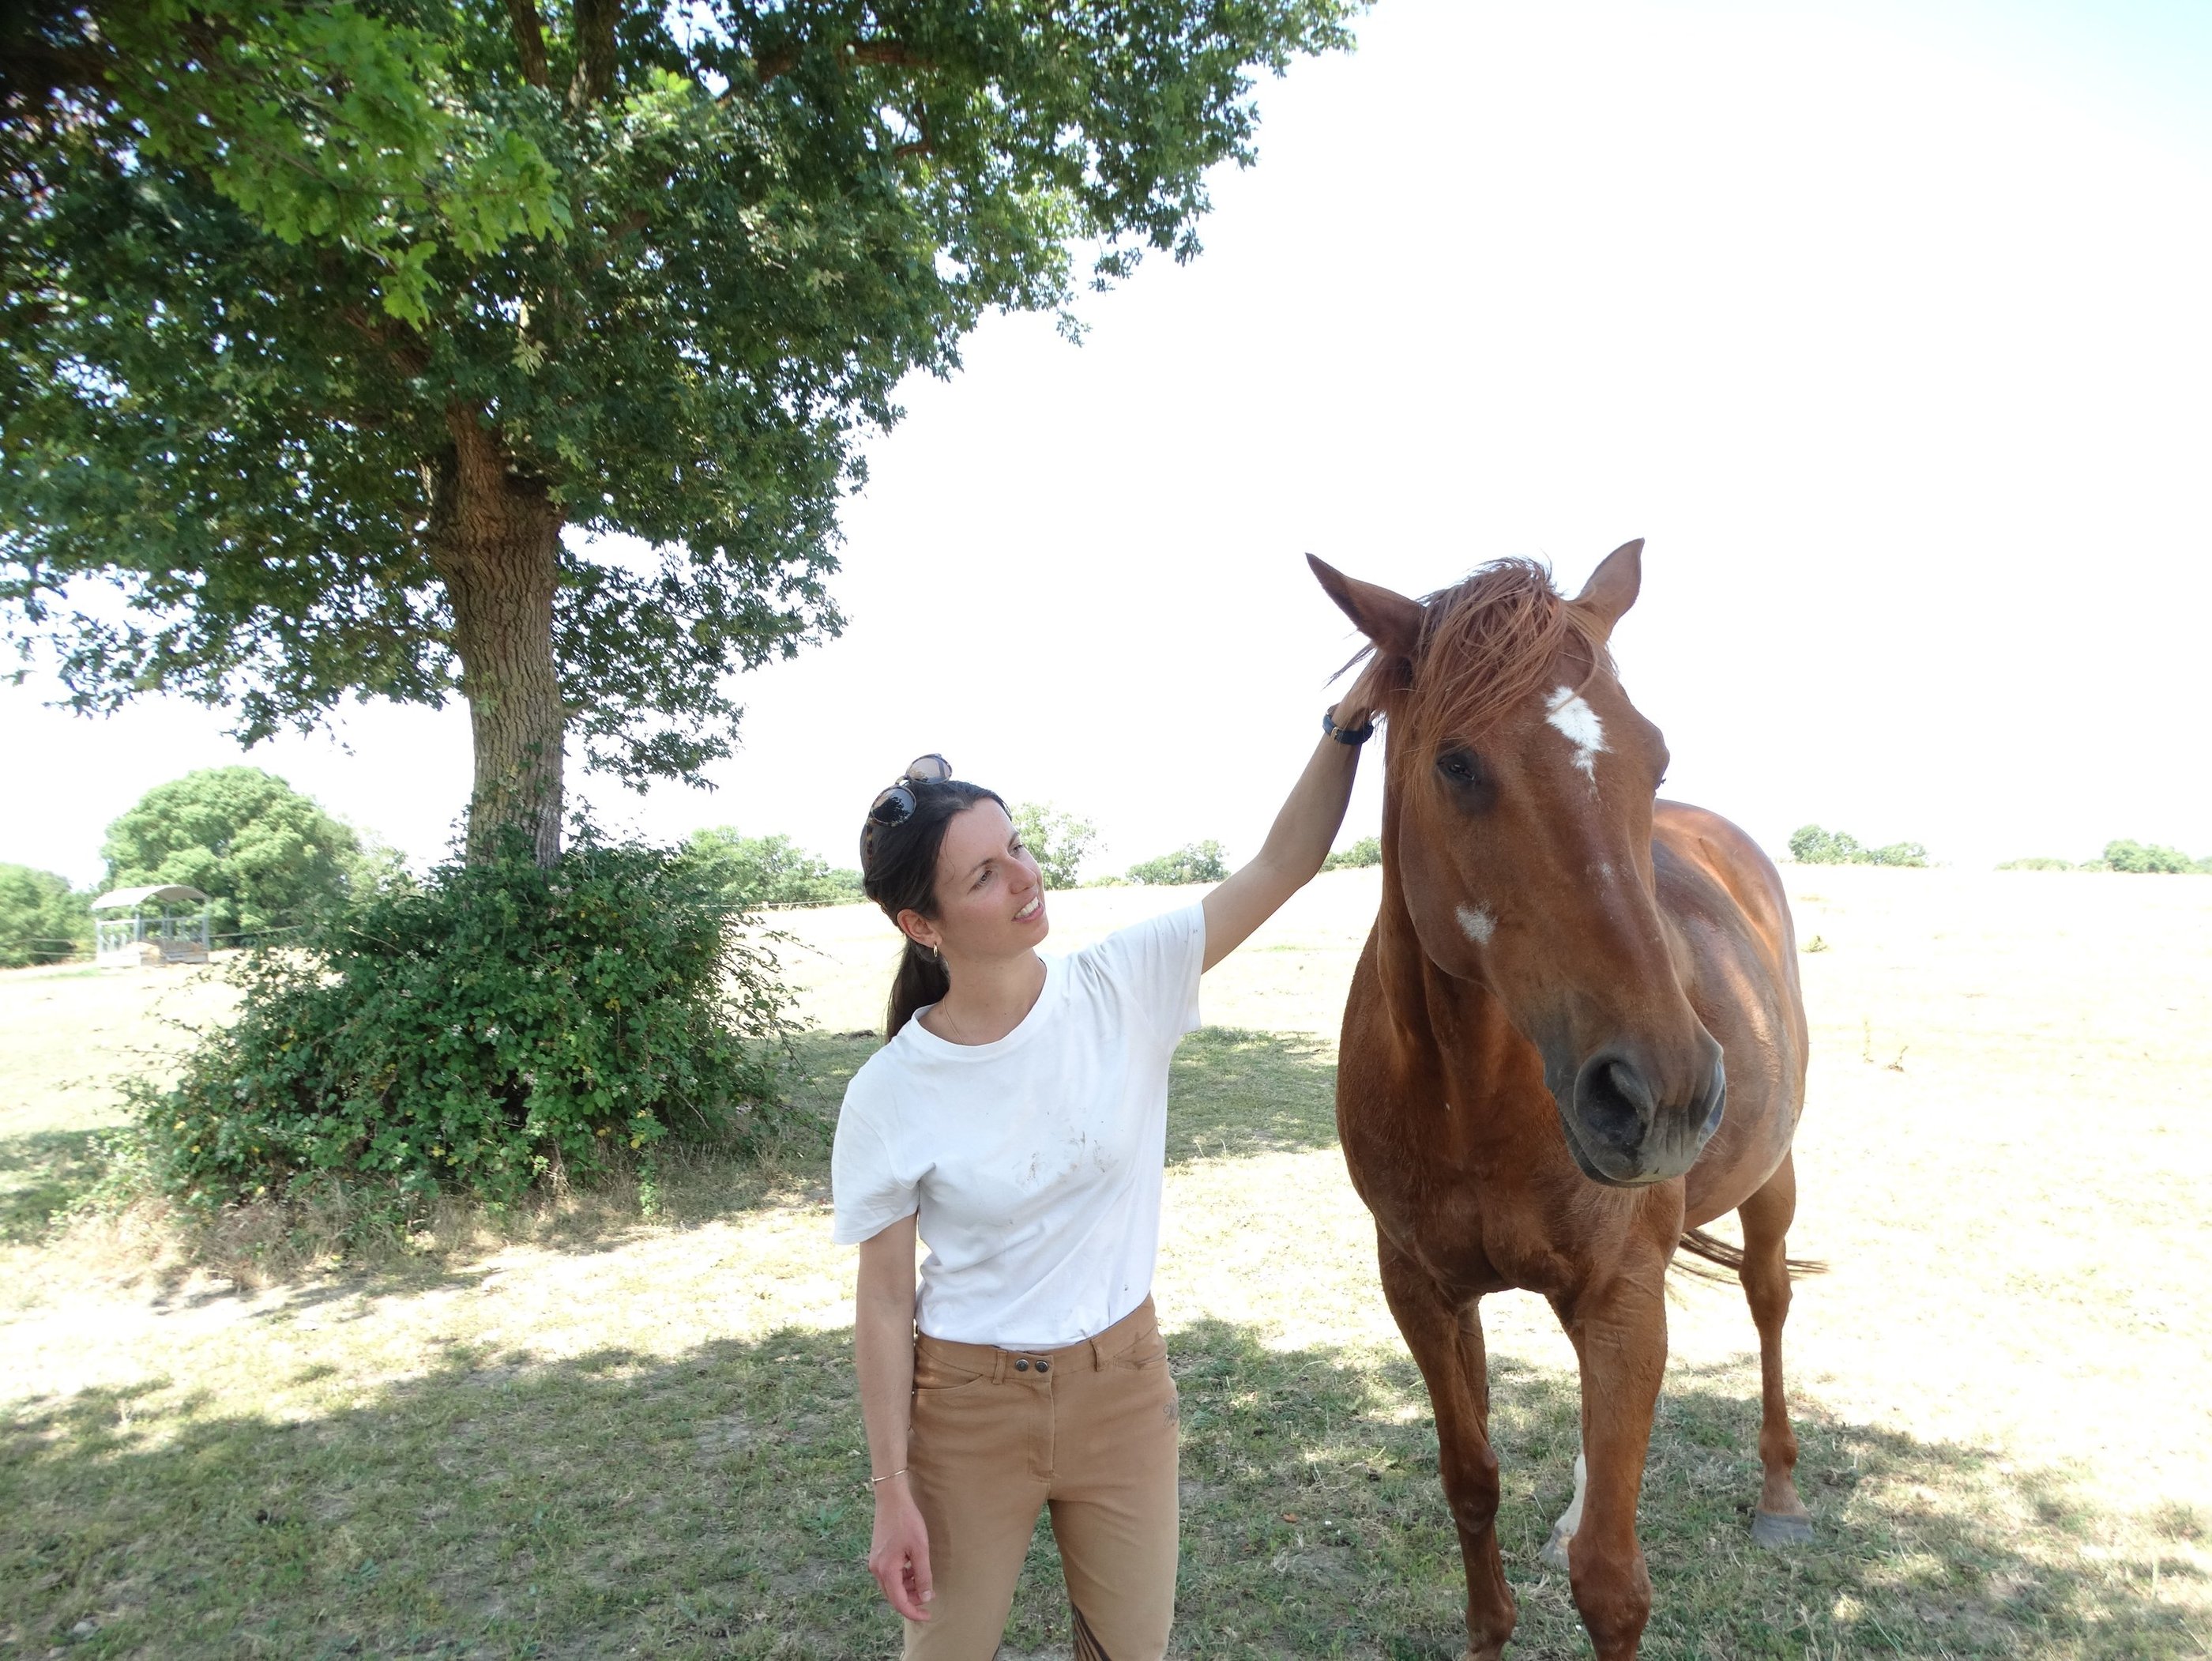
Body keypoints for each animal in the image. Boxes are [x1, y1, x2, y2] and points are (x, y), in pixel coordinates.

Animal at [1310, 540, 1815, 1661]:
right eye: (1456, 763)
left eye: (1653, 757)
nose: (1661, 1093)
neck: (1474, 1097)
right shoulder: (1423, 1291)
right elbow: (1471, 1484)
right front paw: (1489, 1625)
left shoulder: (1620, 1295)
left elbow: (1612, 1582)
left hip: (1772, 1179)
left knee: (1768, 1298)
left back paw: (1779, 1495)